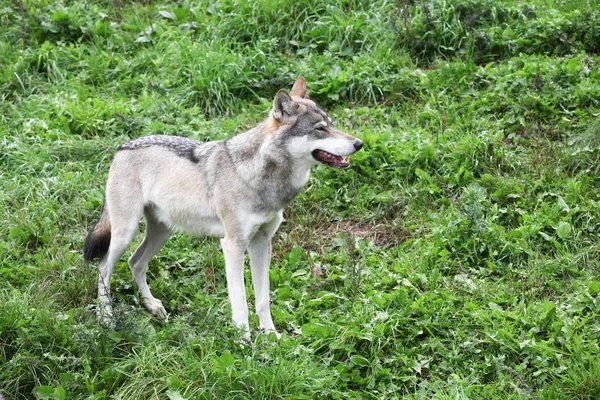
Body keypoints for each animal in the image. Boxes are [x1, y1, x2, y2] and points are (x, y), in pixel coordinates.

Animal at [82, 77, 364, 338]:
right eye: (320, 129)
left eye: (331, 124)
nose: (359, 143)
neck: (261, 176)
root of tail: (121, 147)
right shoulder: (233, 245)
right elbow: (240, 303)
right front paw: (244, 342)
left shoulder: (262, 243)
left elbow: (263, 299)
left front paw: (271, 336)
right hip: (125, 233)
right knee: (104, 267)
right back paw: (106, 319)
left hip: (162, 232)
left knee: (135, 262)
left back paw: (153, 307)